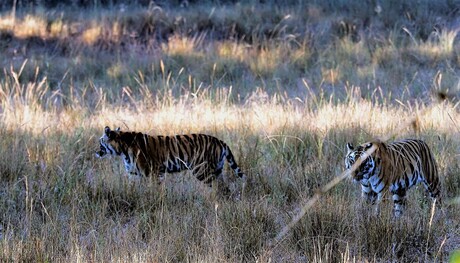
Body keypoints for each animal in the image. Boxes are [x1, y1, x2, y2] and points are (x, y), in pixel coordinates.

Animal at [96, 127, 248, 197]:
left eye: (100, 141)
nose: (96, 151)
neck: (122, 149)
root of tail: (220, 141)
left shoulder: (153, 172)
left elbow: (154, 189)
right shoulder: (134, 174)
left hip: (201, 171)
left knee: (220, 187)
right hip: (217, 170)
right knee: (225, 188)